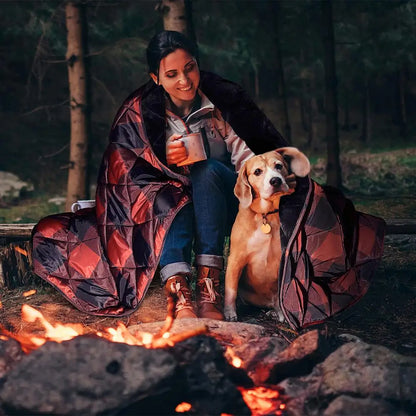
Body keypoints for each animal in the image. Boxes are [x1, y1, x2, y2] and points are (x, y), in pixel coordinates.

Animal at [224, 147, 308, 322]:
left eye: (278, 166)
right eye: (257, 171)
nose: (275, 180)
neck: (266, 215)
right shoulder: (236, 259)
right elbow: (231, 290)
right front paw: (229, 313)